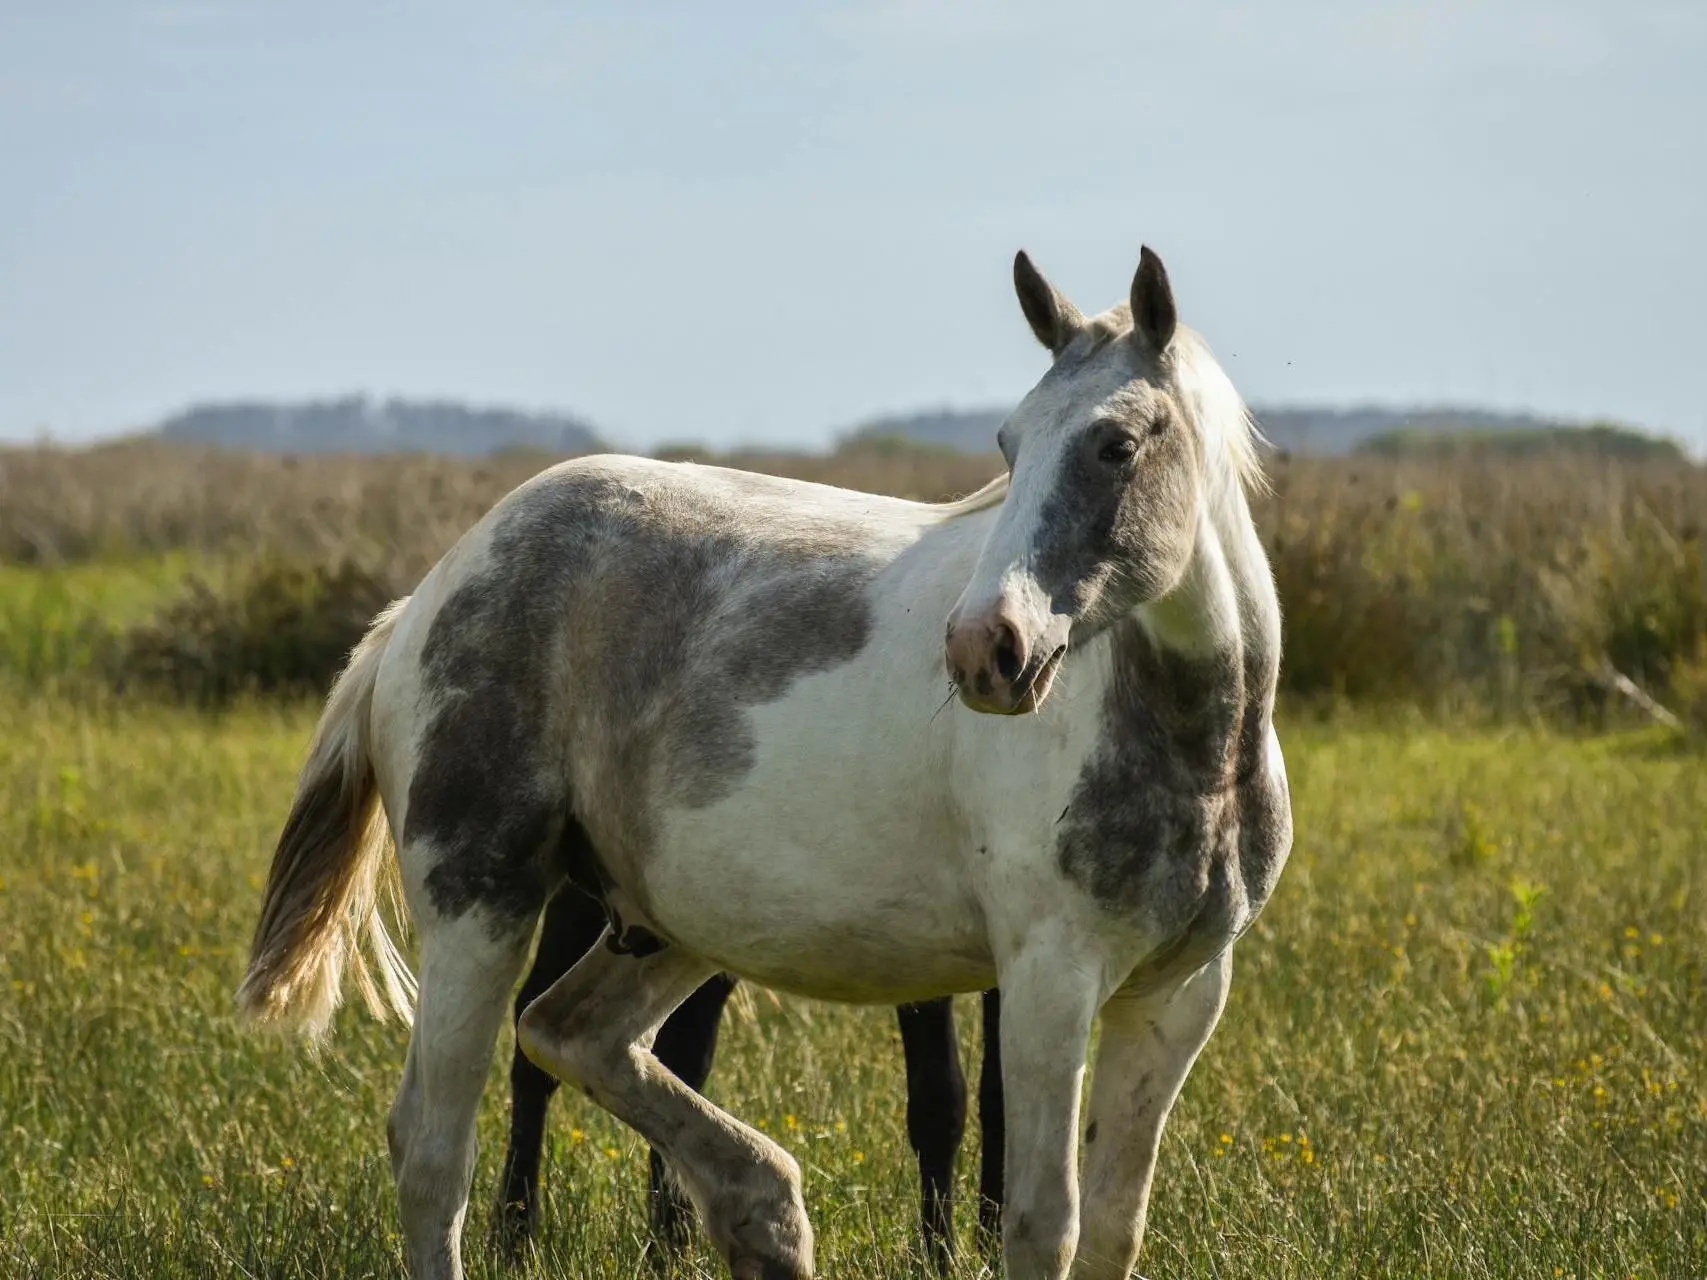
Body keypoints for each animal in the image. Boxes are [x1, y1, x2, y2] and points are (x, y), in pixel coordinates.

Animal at [488, 880, 1003, 1276]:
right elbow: (938, 1100)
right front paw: (939, 1258)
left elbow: (993, 1098)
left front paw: (988, 1245)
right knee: (534, 1023)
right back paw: (516, 1235)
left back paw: (669, 1242)